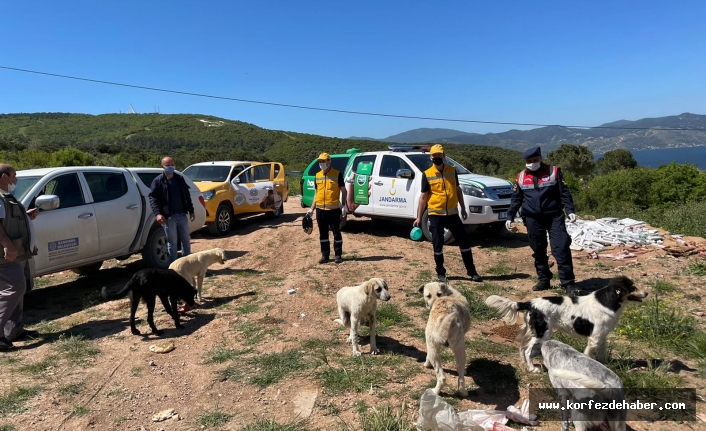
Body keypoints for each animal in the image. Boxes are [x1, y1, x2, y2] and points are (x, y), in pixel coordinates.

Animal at [484, 278, 644, 372]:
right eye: (633, 287)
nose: (647, 293)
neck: (607, 301)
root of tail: (530, 303)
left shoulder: (602, 336)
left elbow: (602, 355)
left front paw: (607, 366)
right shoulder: (594, 338)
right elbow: (589, 354)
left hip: (532, 331)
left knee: (522, 348)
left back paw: (527, 365)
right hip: (543, 333)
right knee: (528, 351)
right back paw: (533, 369)